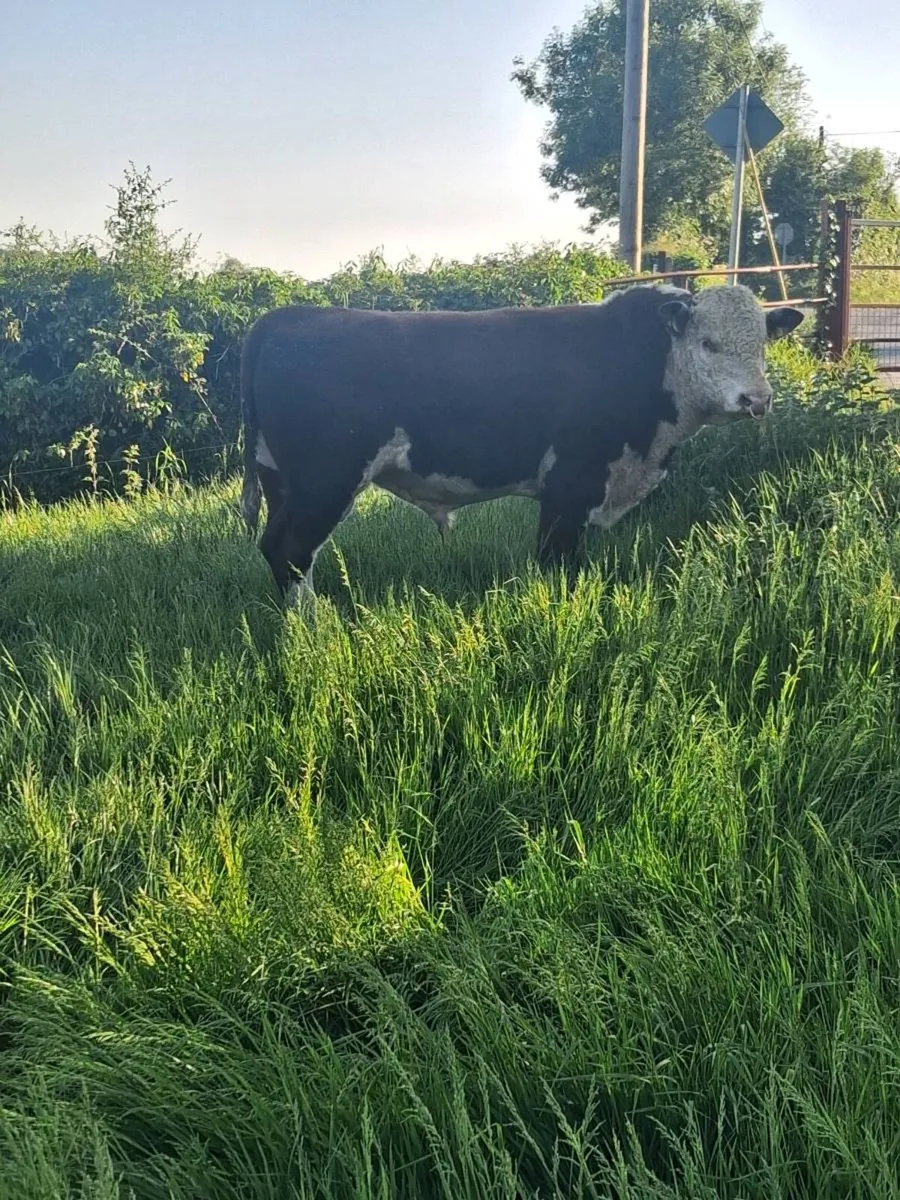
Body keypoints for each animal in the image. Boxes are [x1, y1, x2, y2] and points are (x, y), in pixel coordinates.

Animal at [239, 283, 804, 602]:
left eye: (762, 344)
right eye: (708, 343)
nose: (757, 399)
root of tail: (286, 316)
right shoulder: (571, 485)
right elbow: (557, 563)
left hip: (281, 479)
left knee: (276, 548)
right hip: (325, 480)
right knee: (291, 550)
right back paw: (316, 627)